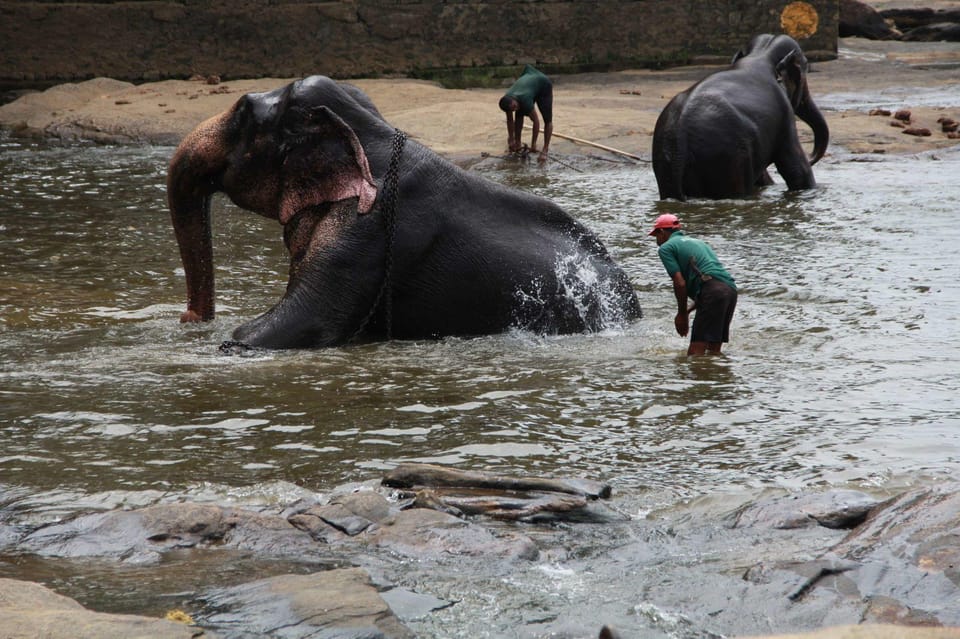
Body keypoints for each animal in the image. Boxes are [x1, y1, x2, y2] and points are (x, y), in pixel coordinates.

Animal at [169, 75, 640, 350]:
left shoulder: (369, 228)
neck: (368, 131)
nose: (188, 317)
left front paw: (232, 338)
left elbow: (299, 323)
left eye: (242, 112)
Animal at [656, 34, 828, 200]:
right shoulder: (785, 116)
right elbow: (797, 169)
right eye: (805, 66)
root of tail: (679, 140)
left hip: (667, 163)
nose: (811, 157)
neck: (762, 53)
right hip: (729, 157)